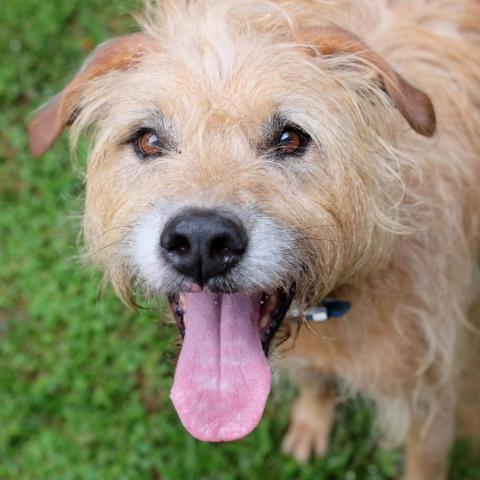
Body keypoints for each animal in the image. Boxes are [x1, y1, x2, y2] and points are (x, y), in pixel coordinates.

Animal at [27, 1, 480, 478]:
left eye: (290, 138)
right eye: (148, 140)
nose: (202, 241)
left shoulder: (432, 402)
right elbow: (315, 380)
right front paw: (311, 421)